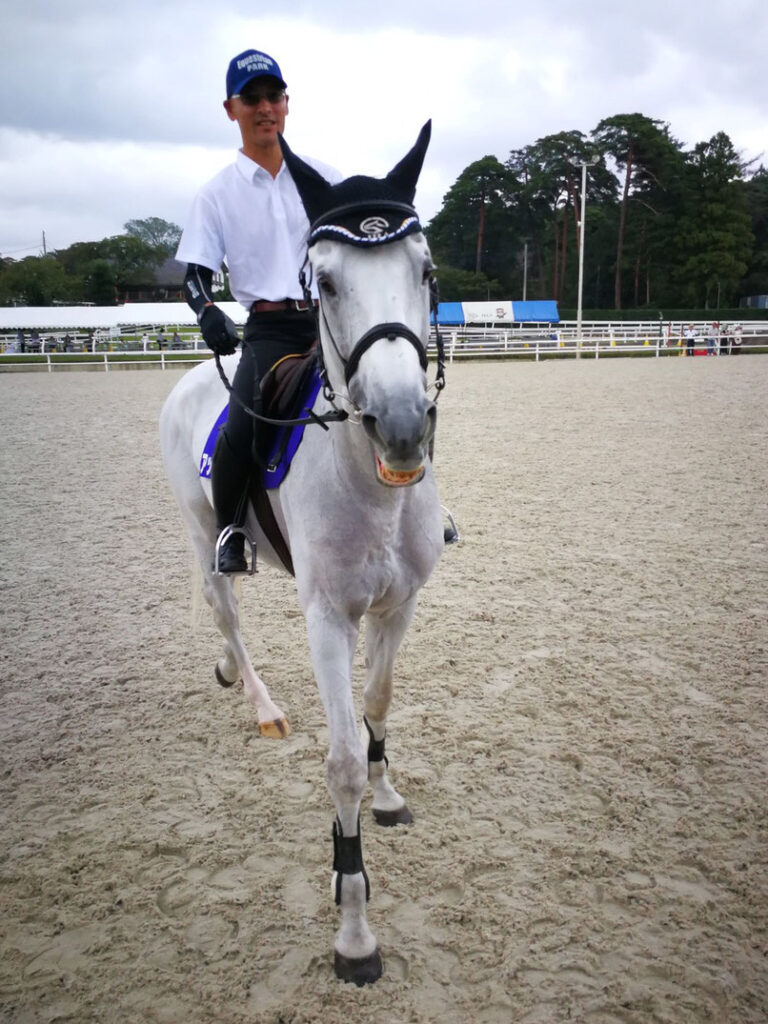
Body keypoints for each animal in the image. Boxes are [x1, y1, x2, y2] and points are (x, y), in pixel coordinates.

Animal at [158, 119, 444, 983]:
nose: (401, 423)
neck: (376, 486)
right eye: (327, 282)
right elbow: (342, 757)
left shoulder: (398, 607)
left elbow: (378, 706)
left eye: (425, 270)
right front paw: (354, 927)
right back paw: (259, 702)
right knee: (223, 609)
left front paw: (386, 798)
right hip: (202, 532)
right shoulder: (327, 620)